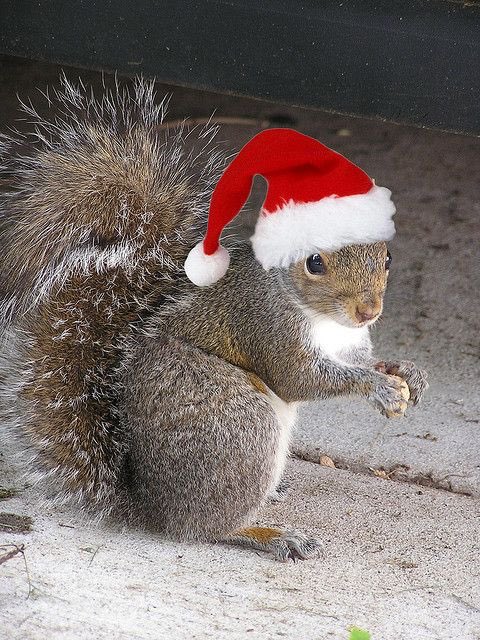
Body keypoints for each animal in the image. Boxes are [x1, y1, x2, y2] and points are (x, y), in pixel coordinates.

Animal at [0, 78, 428, 561]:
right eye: (314, 262)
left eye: (388, 257)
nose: (368, 311)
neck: (322, 318)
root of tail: (153, 507)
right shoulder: (265, 325)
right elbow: (298, 378)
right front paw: (379, 387)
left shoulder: (350, 341)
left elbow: (362, 361)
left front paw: (405, 372)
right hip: (241, 426)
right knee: (207, 528)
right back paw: (268, 533)